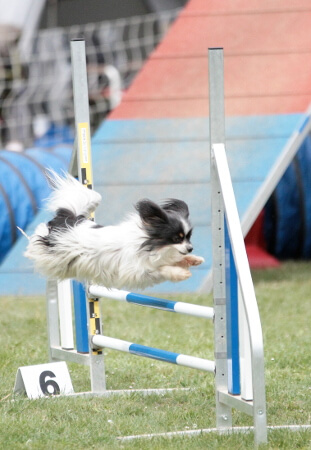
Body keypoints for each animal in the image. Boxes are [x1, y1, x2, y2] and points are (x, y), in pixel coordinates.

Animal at [23, 171, 205, 290]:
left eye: (188, 237)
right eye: (176, 238)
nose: (190, 248)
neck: (149, 242)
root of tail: (67, 218)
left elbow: (174, 260)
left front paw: (193, 259)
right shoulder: (135, 271)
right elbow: (161, 269)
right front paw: (180, 273)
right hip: (51, 254)